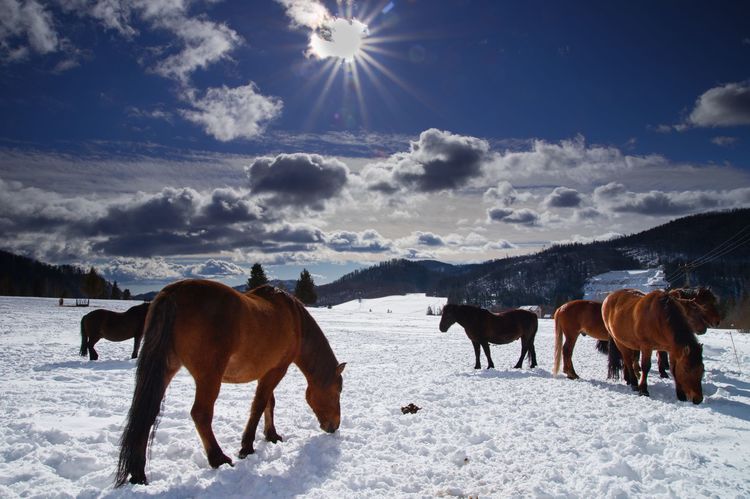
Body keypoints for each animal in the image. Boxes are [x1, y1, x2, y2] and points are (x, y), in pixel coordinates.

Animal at [115, 282, 350, 488]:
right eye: (337, 391)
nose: (334, 426)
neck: (294, 320)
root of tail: (173, 293)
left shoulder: (266, 371)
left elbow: (269, 404)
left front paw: (271, 435)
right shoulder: (276, 370)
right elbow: (259, 405)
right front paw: (247, 446)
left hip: (167, 367)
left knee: (148, 413)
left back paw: (138, 474)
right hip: (209, 376)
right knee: (200, 414)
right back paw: (218, 458)